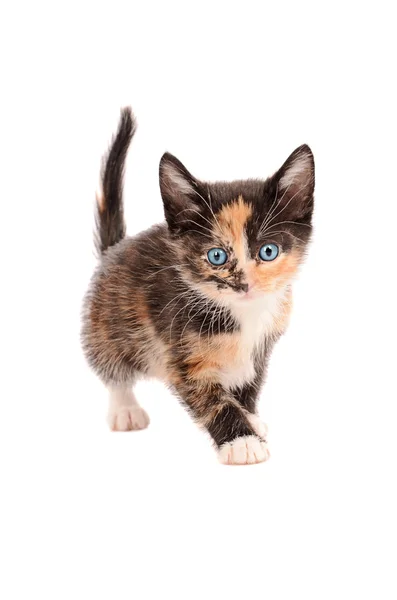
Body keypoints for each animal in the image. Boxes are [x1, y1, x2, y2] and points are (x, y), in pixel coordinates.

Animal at [81, 108, 316, 464]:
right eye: (216, 256)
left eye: (268, 251)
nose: (244, 285)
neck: (242, 313)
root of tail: (114, 249)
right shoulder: (181, 354)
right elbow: (212, 400)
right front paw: (241, 441)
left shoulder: (263, 346)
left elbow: (248, 385)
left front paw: (250, 418)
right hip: (107, 323)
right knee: (110, 365)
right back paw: (125, 409)